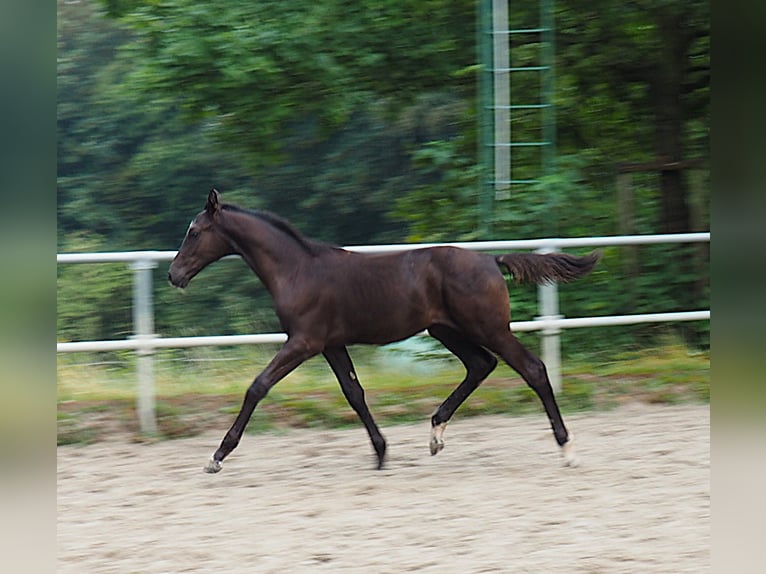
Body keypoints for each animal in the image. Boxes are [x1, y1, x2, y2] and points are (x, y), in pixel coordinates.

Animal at [168, 189, 599, 473]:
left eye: (194, 231)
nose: (174, 275)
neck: (298, 270)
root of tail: (492, 261)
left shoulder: (304, 341)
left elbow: (257, 386)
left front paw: (217, 456)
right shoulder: (331, 344)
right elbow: (354, 393)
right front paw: (381, 452)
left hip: (488, 326)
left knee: (532, 369)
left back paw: (568, 449)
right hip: (445, 330)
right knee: (480, 365)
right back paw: (435, 434)